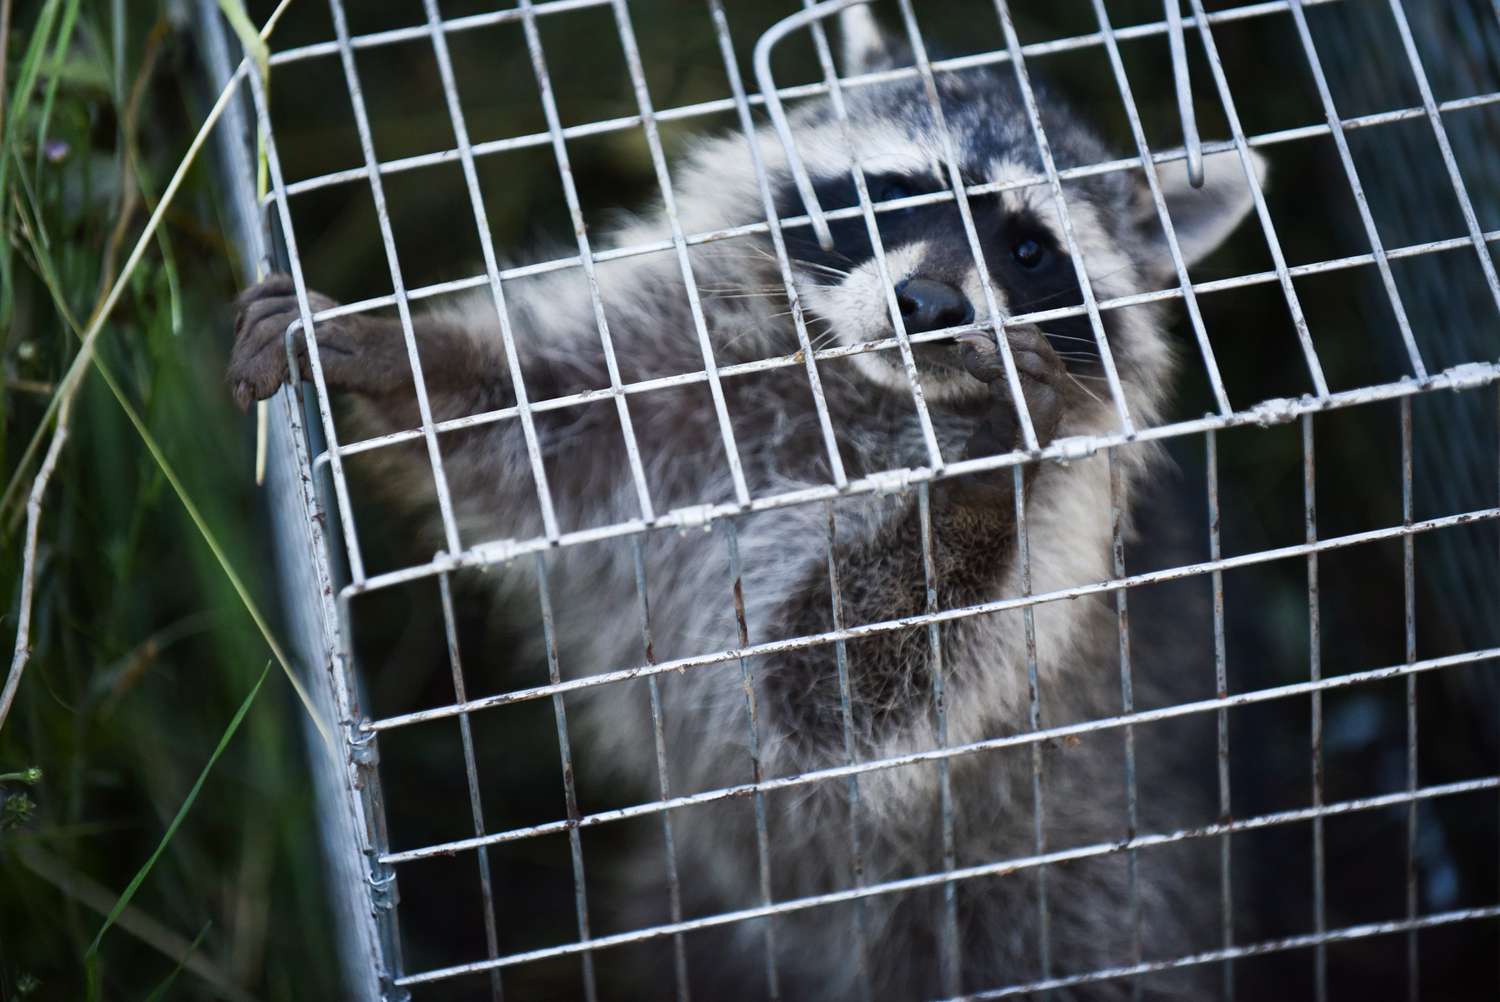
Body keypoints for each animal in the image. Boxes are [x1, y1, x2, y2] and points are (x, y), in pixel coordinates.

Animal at [231, 9, 1266, 1002]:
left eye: (1028, 248)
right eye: (897, 191)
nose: (930, 305)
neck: (860, 389)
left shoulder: (1061, 539)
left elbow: (843, 693)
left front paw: (982, 481)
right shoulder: (660, 373)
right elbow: (521, 422)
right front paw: (393, 351)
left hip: (1072, 907)